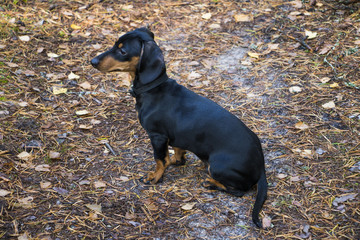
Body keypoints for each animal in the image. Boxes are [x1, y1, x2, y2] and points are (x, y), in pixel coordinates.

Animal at [91, 27, 268, 228]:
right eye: (115, 44)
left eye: (122, 51)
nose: (92, 61)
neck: (153, 89)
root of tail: (261, 167)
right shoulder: (176, 136)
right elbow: (176, 150)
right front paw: (177, 161)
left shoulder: (157, 136)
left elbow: (160, 159)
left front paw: (155, 177)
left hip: (217, 166)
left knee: (239, 191)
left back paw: (211, 184)